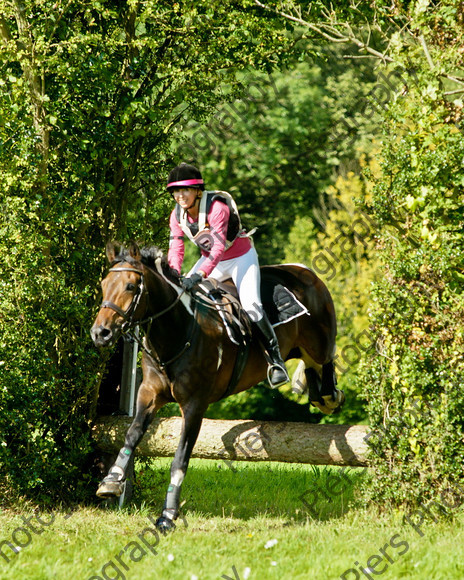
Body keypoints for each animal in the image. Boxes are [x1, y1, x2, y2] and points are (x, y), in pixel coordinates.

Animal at [91, 242, 344, 532]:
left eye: (131, 286)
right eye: (104, 284)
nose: (100, 333)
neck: (177, 330)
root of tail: (306, 271)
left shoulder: (194, 405)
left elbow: (180, 459)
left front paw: (168, 516)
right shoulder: (149, 394)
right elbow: (132, 434)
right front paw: (111, 481)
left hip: (319, 344)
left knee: (326, 366)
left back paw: (329, 395)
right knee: (314, 375)